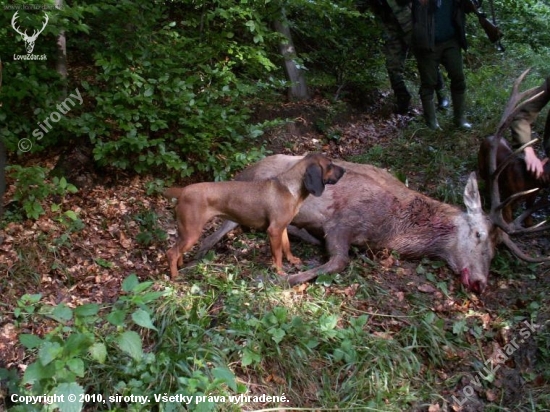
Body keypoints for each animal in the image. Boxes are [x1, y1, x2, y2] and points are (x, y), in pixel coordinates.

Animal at [164, 154, 344, 280]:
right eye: (329, 165)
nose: (344, 170)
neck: (289, 187)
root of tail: (183, 191)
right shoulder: (274, 230)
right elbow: (278, 254)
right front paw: (280, 272)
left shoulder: (282, 228)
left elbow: (286, 247)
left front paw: (292, 260)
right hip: (192, 233)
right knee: (171, 253)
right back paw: (175, 276)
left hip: (185, 232)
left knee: (178, 251)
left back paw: (181, 265)